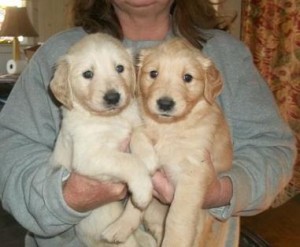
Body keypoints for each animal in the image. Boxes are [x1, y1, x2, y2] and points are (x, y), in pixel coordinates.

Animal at [49, 32, 155, 247]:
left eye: (120, 68)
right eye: (88, 74)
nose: (113, 97)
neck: (110, 118)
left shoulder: (134, 122)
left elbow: (137, 133)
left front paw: (148, 157)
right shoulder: (88, 157)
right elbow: (129, 161)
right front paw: (142, 190)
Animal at [104, 37, 233, 247]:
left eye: (188, 77)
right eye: (153, 73)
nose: (165, 104)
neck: (167, 126)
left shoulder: (193, 172)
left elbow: (177, 217)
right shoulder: (142, 124)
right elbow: (138, 135)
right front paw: (122, 225)